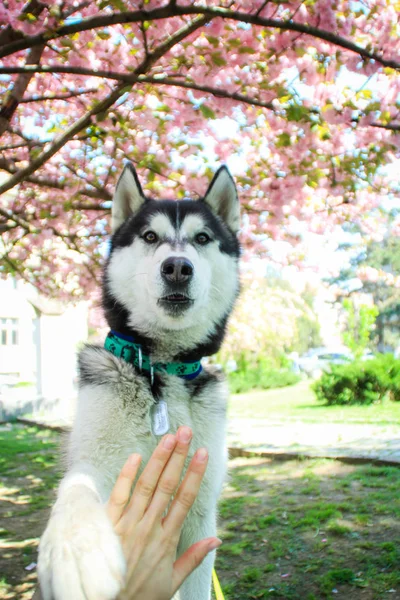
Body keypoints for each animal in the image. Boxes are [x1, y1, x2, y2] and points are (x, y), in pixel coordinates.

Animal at [36, 164, 241, 600]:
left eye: (202, 238)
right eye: (150, 237)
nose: (178, 267)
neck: (161, 369)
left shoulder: (200, 518)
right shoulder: (98, 460)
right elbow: (77, 486)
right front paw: (76, 545)